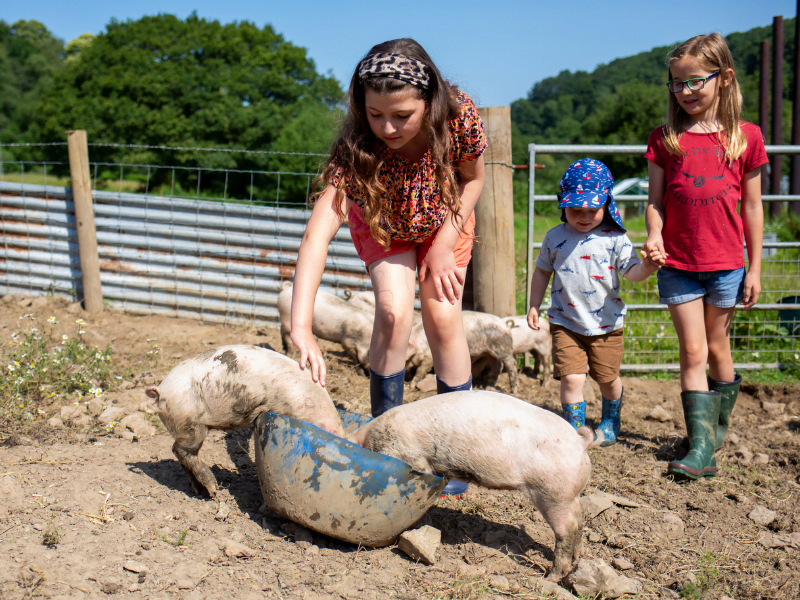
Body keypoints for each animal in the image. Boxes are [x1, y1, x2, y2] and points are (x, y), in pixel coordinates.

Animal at [145, 344, 346, 500]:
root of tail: (160, 393)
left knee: (181, 453)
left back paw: (200, 491)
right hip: (190, 424)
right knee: (180, 450)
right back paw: (213, 489)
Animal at [354, 392, 604, 584]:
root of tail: (581, 443)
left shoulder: (407, 452)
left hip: (552, 493)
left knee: (567, 527)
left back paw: (551, 577)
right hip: (568, 496)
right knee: (580, 517)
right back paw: (577, 559)